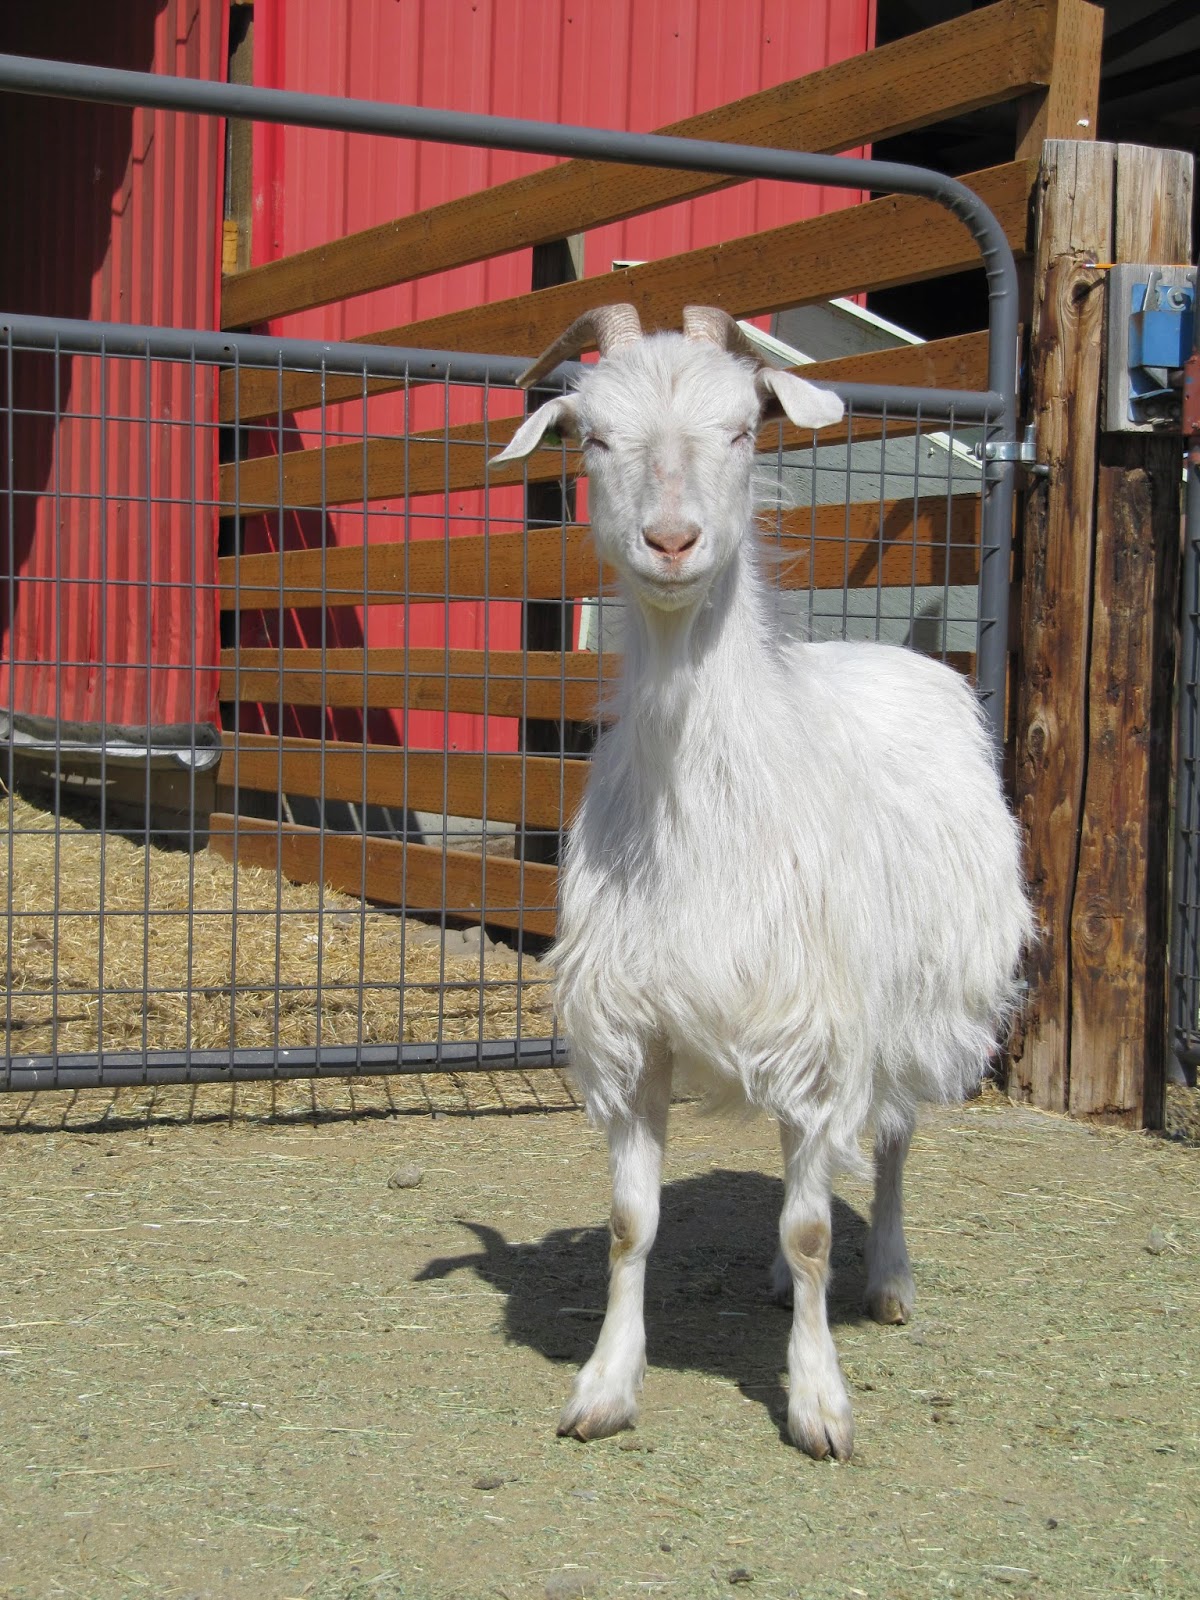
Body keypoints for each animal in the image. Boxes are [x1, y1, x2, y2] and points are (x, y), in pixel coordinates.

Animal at [491, 305, 1031, 1460]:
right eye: (593, 437)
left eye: (743, 429)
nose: (672, 541)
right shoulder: (634, 1033)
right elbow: (632, 1223)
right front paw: (606, 1384)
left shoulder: (825, 1025)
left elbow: (819, 1223)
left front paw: (820, 1401)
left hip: (918, 1003)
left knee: (891, 1140)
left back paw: (890, 1281)